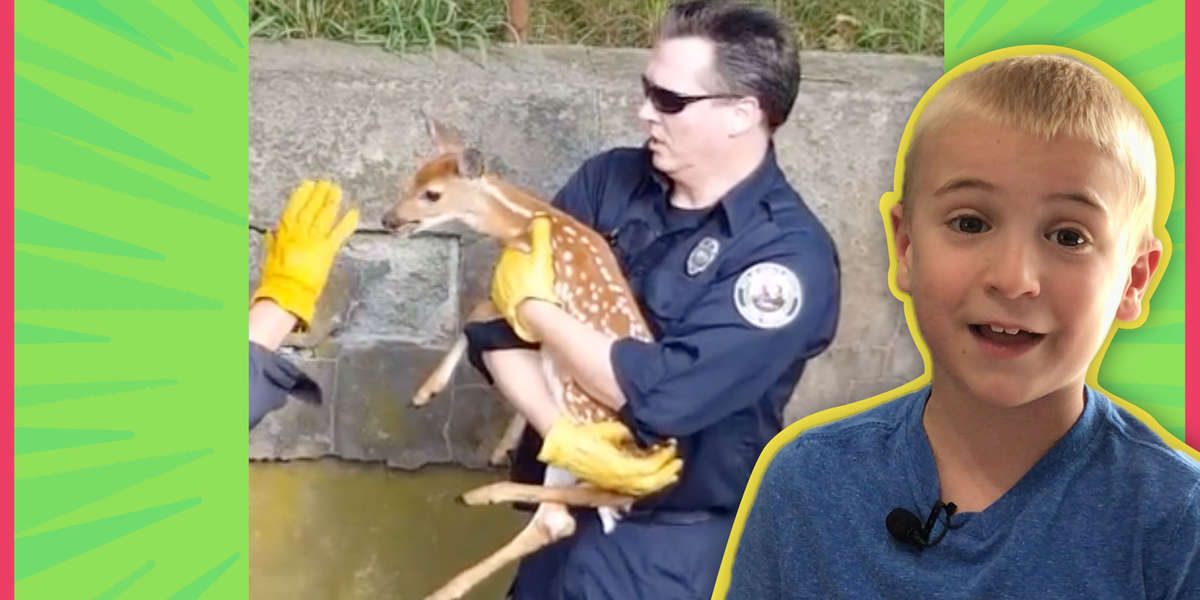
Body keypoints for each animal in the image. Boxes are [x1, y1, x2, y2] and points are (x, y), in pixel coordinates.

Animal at [381, 116, 668, 600]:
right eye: (411, 178)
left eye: (432, 194)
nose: (389, 220)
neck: (526, 224)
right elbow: (485, 318)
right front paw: (502, 443)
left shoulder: (534, 295)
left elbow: (475, 312)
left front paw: (426, 392)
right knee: (564, 516)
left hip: (583, 416)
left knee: (594, 500)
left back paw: (473, 521)